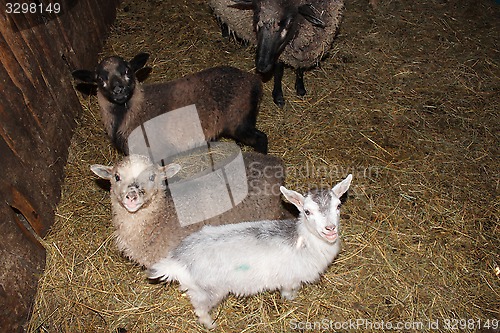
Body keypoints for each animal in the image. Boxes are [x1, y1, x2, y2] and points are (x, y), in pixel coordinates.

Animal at [72, 52, 268, 153]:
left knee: (261, 138)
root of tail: (254, 80)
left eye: (128, 72)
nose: (118, 90)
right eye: (100, 79)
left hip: (239, 120)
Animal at [147, 174, 352, 326]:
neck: (303, 241)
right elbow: (288, 293)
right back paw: (210, 324)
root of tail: (178, 259)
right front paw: (291, 300)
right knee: (200, 308)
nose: (330, 229)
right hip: (209, 290)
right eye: (307, 212)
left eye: (338, 206)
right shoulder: (289, 278)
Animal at [207, 0, 344, 105]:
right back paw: (225, 33)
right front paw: (278, 96)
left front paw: (300, 88)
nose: (262, 66)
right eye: (256, 18)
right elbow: (279, 71)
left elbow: (300, 67)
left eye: (289, 23)